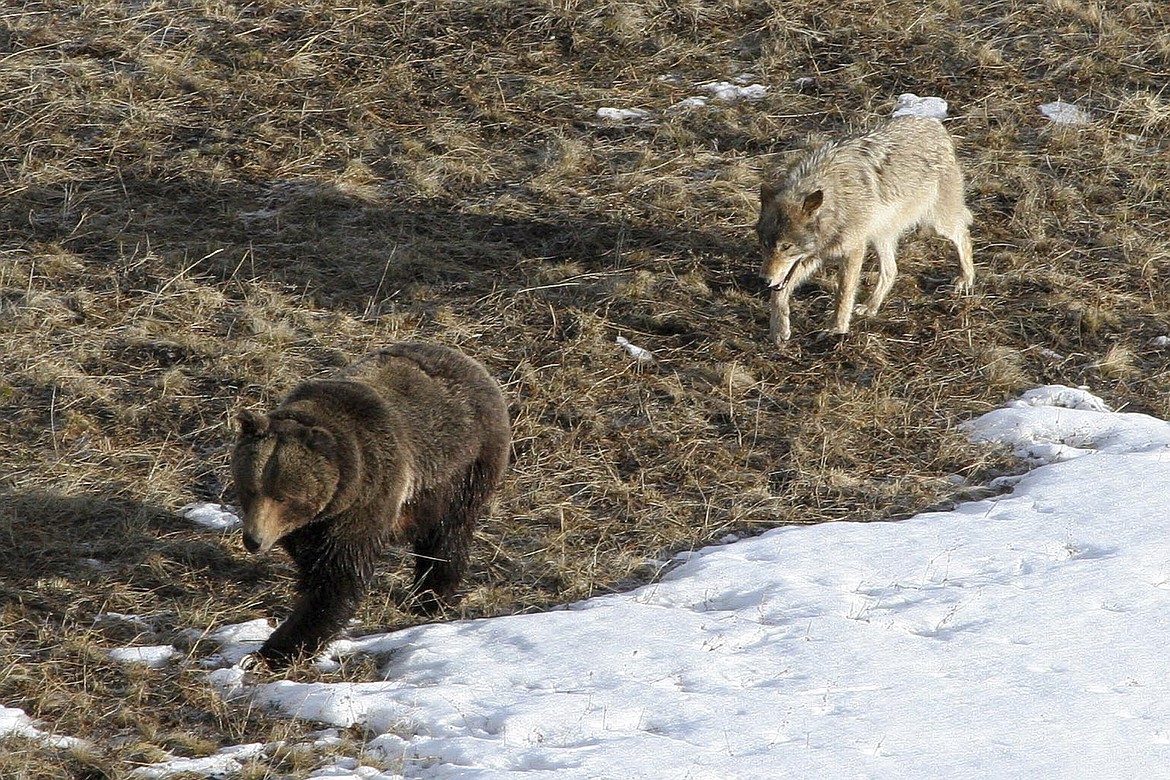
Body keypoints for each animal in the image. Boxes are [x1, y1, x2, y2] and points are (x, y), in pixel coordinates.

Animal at [232, 343, 512, 668]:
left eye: (283, 496)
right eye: (250, 488)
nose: (254, 540)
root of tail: (471, 363)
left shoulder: (368, 496)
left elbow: (338, 578)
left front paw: (277, 649)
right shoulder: (312, 524)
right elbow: (313, 562)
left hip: (462, 469)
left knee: (447, 535)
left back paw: (430, 596)